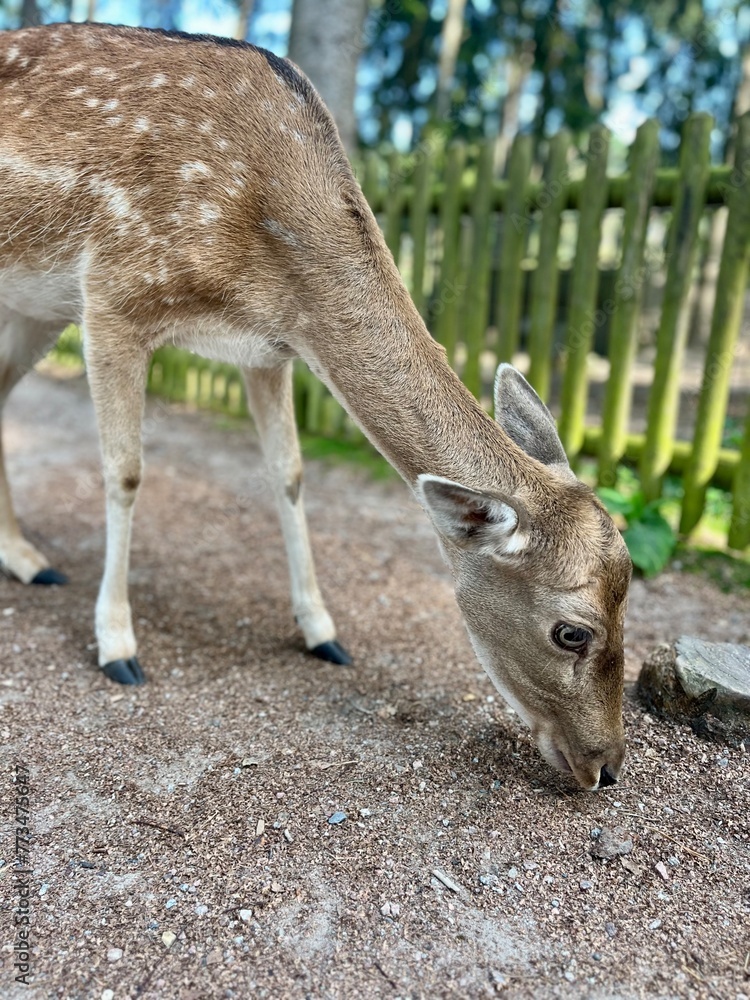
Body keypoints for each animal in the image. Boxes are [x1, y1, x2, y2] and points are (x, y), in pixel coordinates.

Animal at [0, 23, 632, 791]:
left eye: (632, 595)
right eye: (571, 632)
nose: (607, 767)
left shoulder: (266, 350)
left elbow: (290, 477)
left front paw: (322, 633)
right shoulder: (113, 297)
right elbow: (125, 473)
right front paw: (118, 646)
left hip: (32, 308)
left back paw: (26, 557)